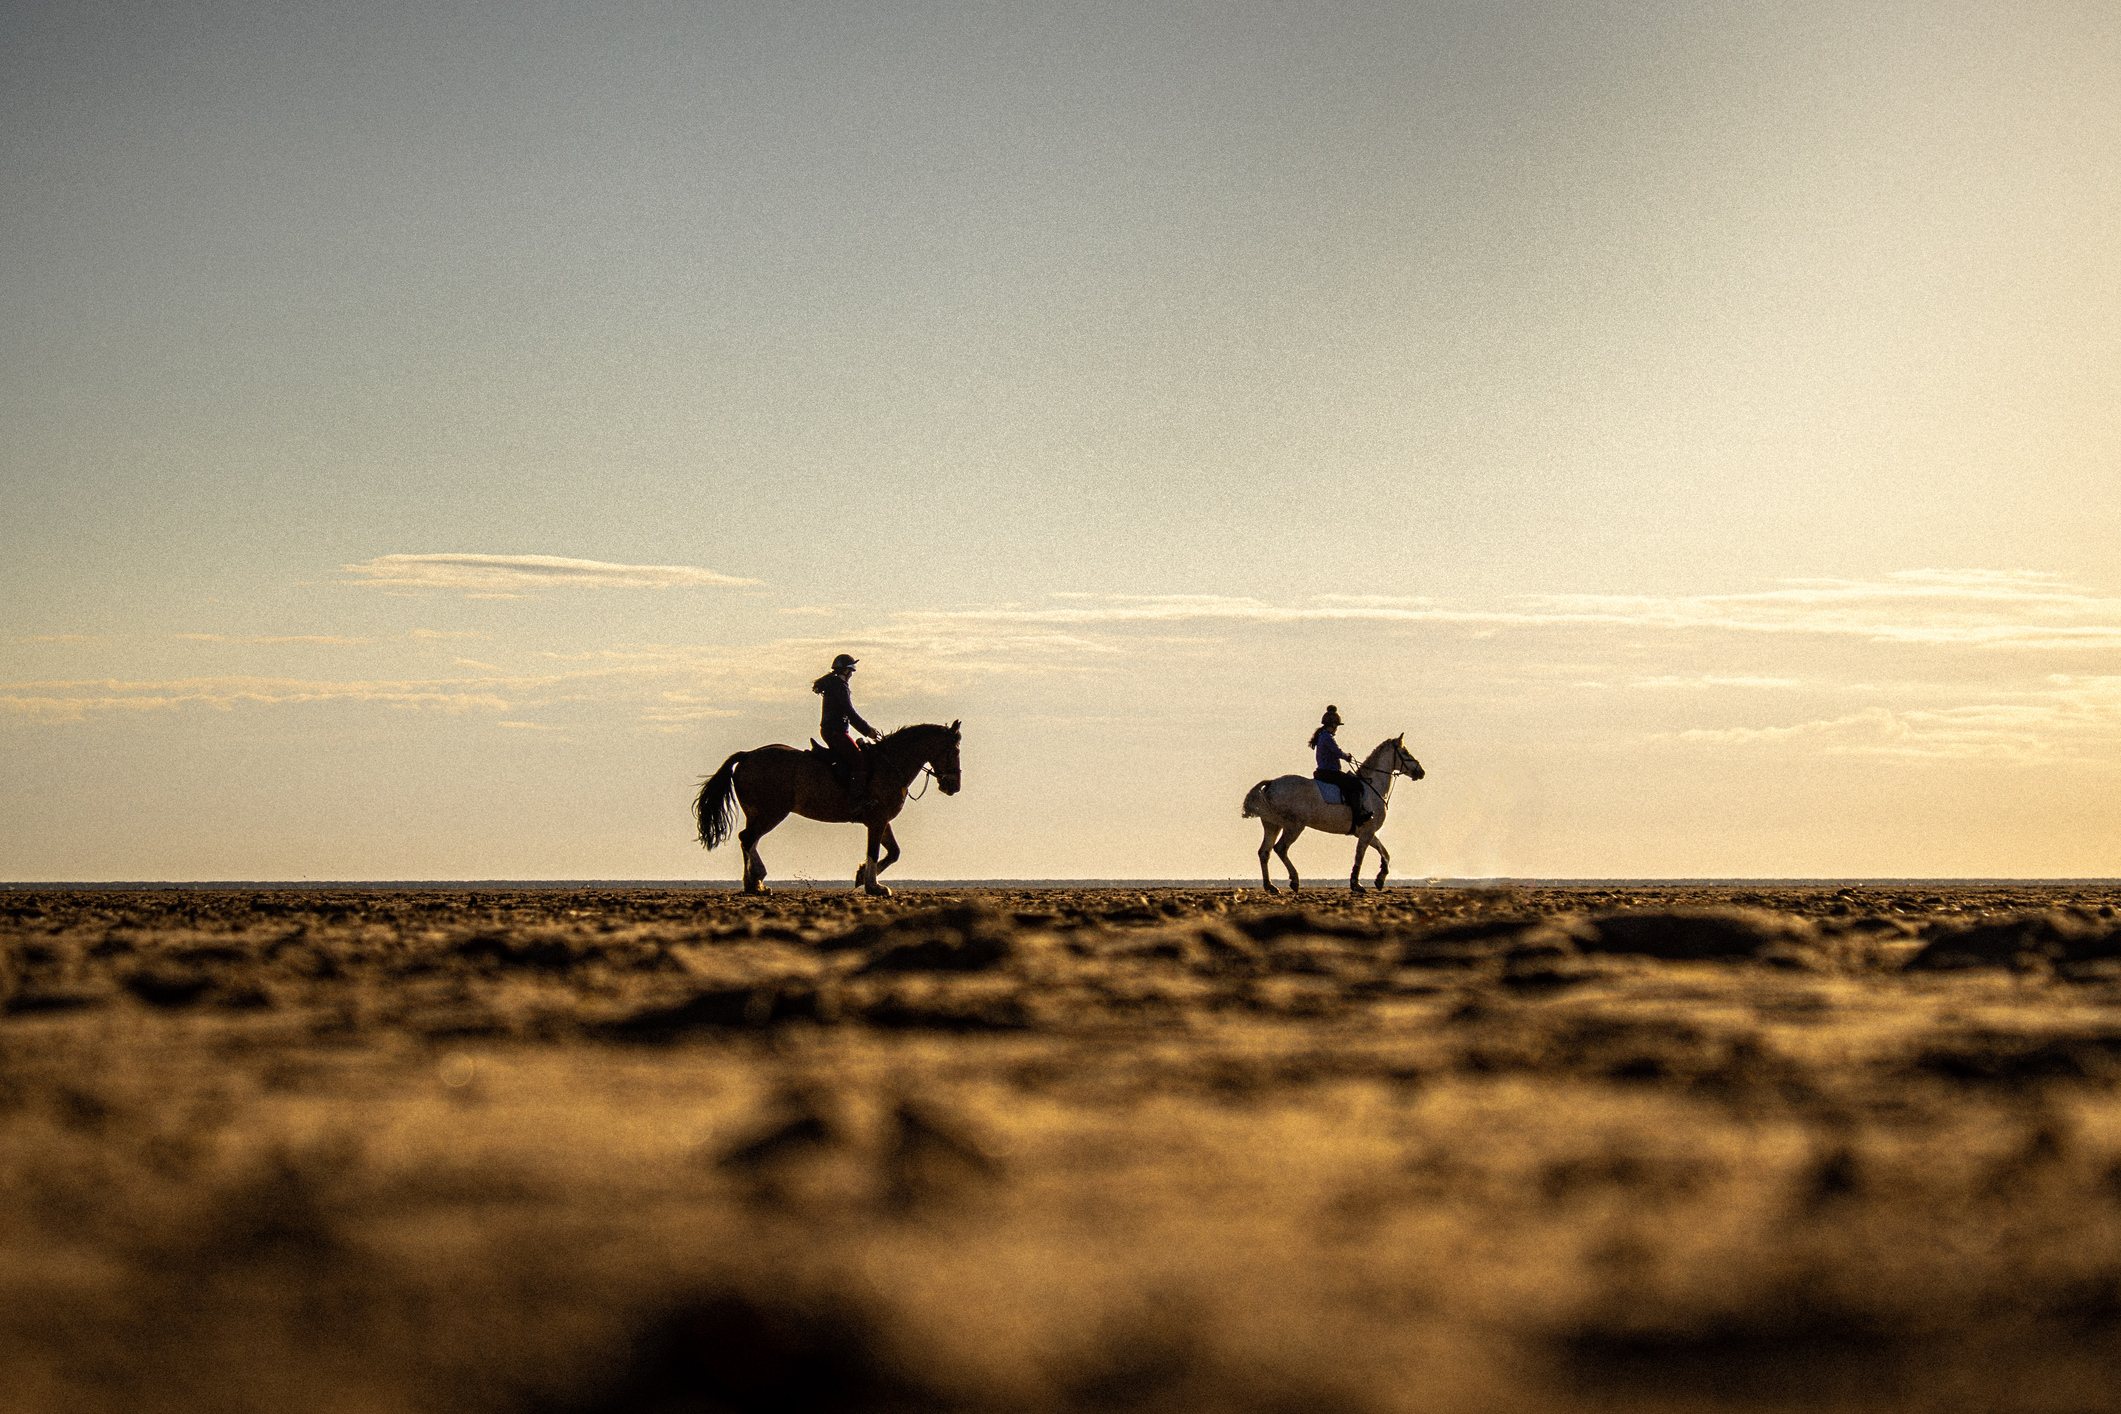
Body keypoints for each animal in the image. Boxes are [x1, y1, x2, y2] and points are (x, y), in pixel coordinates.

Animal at [694, 721, 962, 897]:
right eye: (955, 750)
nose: (954, 786)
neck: (890, 764)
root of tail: (748, 755)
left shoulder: (882, 820)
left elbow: (894, 852)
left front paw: (861, 876)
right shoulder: (876, 820)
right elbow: (874, 851)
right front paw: (873, 886)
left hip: (758, 814)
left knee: (749, 840)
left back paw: (753, 885)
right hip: (772, 812)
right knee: (748, 838)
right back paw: (757, 879)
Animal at [1241, 735, 1424, 893]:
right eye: (1405, 752)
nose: (1421, 772)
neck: (1373, 787)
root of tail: (1271, 783)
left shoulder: (1367, 832)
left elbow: (1385, 853)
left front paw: (1380, 880)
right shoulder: (1366, 832)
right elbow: (1360, 856)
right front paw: (1356, 884)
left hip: (1273, 825)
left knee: (1264, 852)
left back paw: (1270, 887)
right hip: (1294, 826)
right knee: (1280, 848)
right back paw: (1294, 881)